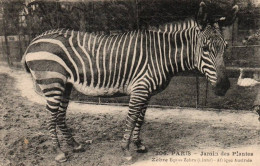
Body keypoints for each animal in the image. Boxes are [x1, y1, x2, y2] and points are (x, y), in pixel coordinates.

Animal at [22, 1, 238, 162]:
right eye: (205, 48)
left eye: (226, 47)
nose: (223, 87)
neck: (161, 54)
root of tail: (34, 40)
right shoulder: (140, 88)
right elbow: (132, 117)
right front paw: (125, 150)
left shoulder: (146, 91)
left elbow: (141, 118)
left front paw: (138, 144)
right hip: (52, 83)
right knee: (51, 116)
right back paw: (59, 152)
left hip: (65, 85)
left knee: (59, 115)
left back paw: (75, 146)